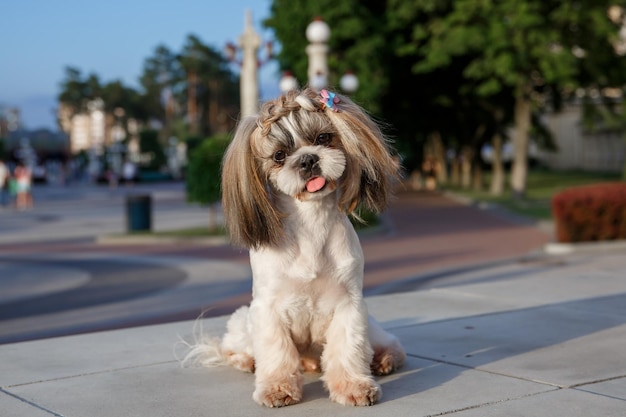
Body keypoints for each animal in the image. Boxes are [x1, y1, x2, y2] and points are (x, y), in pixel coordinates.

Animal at [183, 87, 404, 406]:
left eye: (323, 138)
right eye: (279, 155)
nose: (307, 159)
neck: (311, 221)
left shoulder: (349, 305)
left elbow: (348, 349)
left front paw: (353, 386)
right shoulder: (268, 308)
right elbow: (276, 352)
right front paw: (277, 388)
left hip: (370, 325)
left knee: (382, 342)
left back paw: (383, 358)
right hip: (243, 321)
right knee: (233, 347)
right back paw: (247, 361)